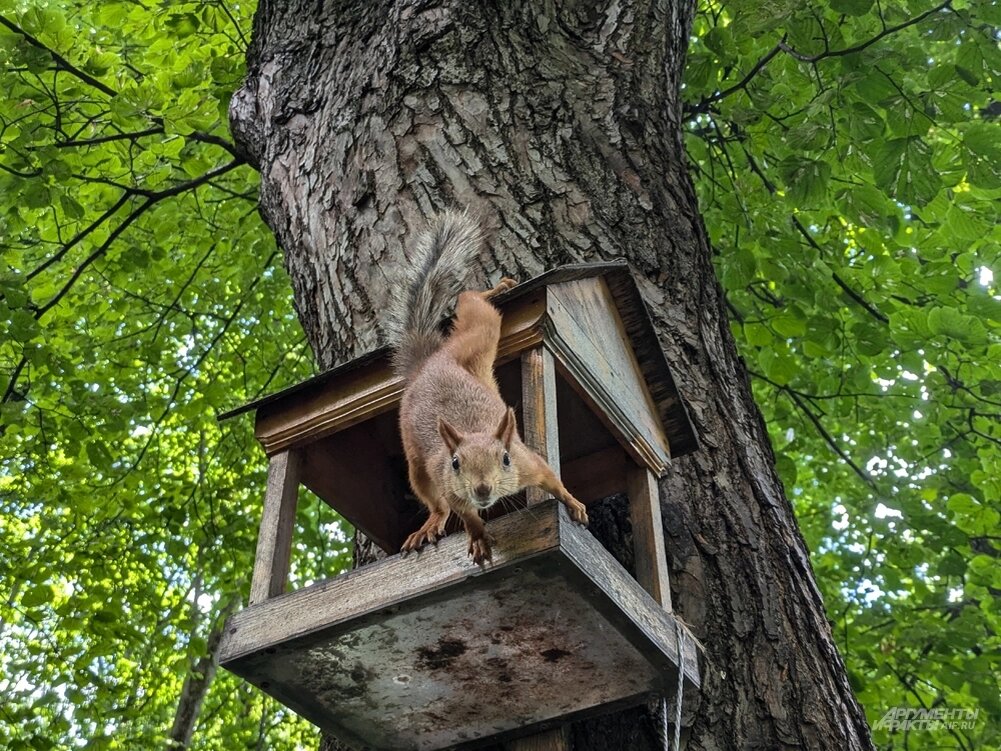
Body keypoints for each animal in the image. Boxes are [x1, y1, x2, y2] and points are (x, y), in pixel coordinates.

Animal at [382, 210, 584, 564]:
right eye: (456, 463)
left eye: (504, 458)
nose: (482, 490)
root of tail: (429, 363)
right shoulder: (448, 481)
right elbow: (465, 513)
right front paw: (477, 537)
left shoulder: (528, 463)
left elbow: (552, 481)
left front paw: (573, 503)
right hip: (417, 465)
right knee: (437, 505)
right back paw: (430, 525)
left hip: (476, 339)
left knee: (473, 304)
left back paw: (494, 290)